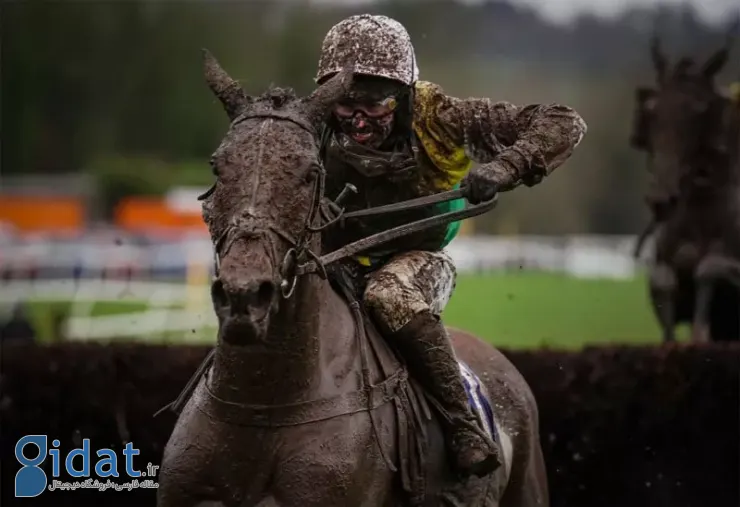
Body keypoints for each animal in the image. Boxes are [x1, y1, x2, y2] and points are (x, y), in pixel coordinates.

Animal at [156, 51, 548, 507]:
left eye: (310, 172)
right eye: (217, 166)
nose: (245, 295)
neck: (263, 403)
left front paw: (492, 175)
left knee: (393, 296)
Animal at [632, 29, 740, 344]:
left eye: (699, 112)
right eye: (652, 112)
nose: (660, 199)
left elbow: (710, 269)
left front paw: (698, 335)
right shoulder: (665, 269)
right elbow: (662, 281)